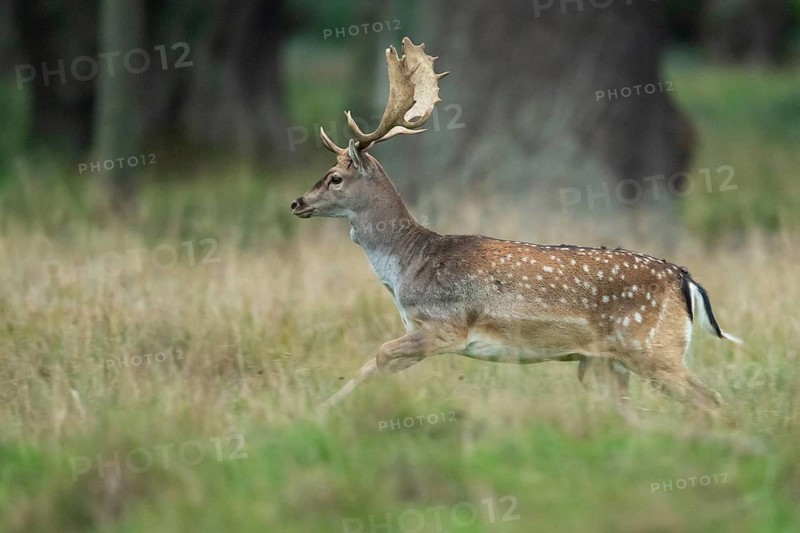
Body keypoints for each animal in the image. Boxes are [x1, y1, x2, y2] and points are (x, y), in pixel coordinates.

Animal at [290, 37, 743, 416]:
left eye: (335, 177)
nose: (297, 203)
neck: (407, 266)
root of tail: (686, 280)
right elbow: (377, 362)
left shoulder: (446, 326)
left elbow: (380, 354)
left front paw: (319, 411)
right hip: (605, 361)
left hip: (652, 348)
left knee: (712, 399)